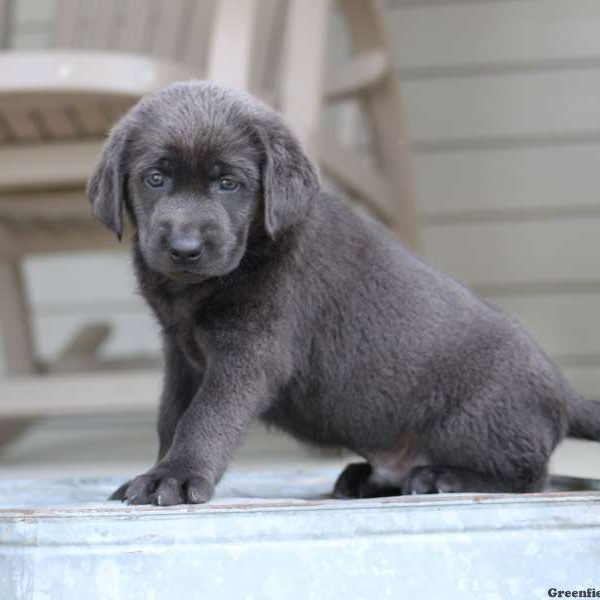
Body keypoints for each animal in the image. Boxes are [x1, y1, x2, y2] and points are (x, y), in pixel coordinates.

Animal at [86, 78, 596, 502]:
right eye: (155, 178)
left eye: (229, 183)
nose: (185, 248)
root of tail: (563, 392)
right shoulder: (182, 352)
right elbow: (171, 415)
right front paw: (157, 470)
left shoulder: (251, 350)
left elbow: (205, 416)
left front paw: (175, 476)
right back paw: (364, 477)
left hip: (475, 424)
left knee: (532, 476)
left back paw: (443, 477)